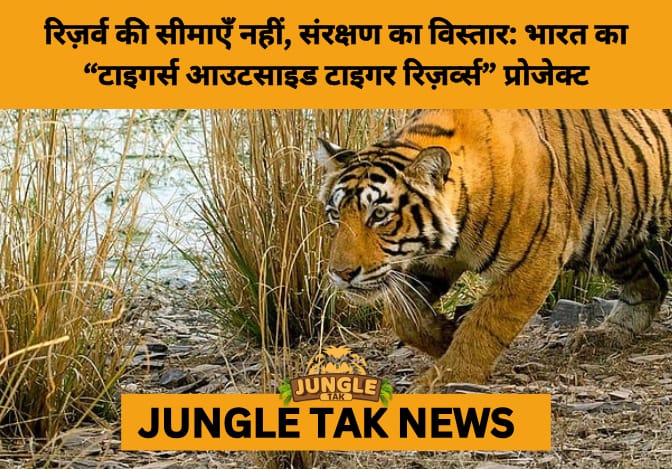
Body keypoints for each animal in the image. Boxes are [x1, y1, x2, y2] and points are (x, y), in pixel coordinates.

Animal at [316, 109, 672, 390]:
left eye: (379, 215)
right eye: (334, 214)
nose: (340, 274)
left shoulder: (539, 253)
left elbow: (486, 323)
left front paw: (443, 379)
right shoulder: (435, 259)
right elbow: (402, 316)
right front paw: (445, 335)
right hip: (615, 229)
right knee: (653, 282)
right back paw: (605, 336)